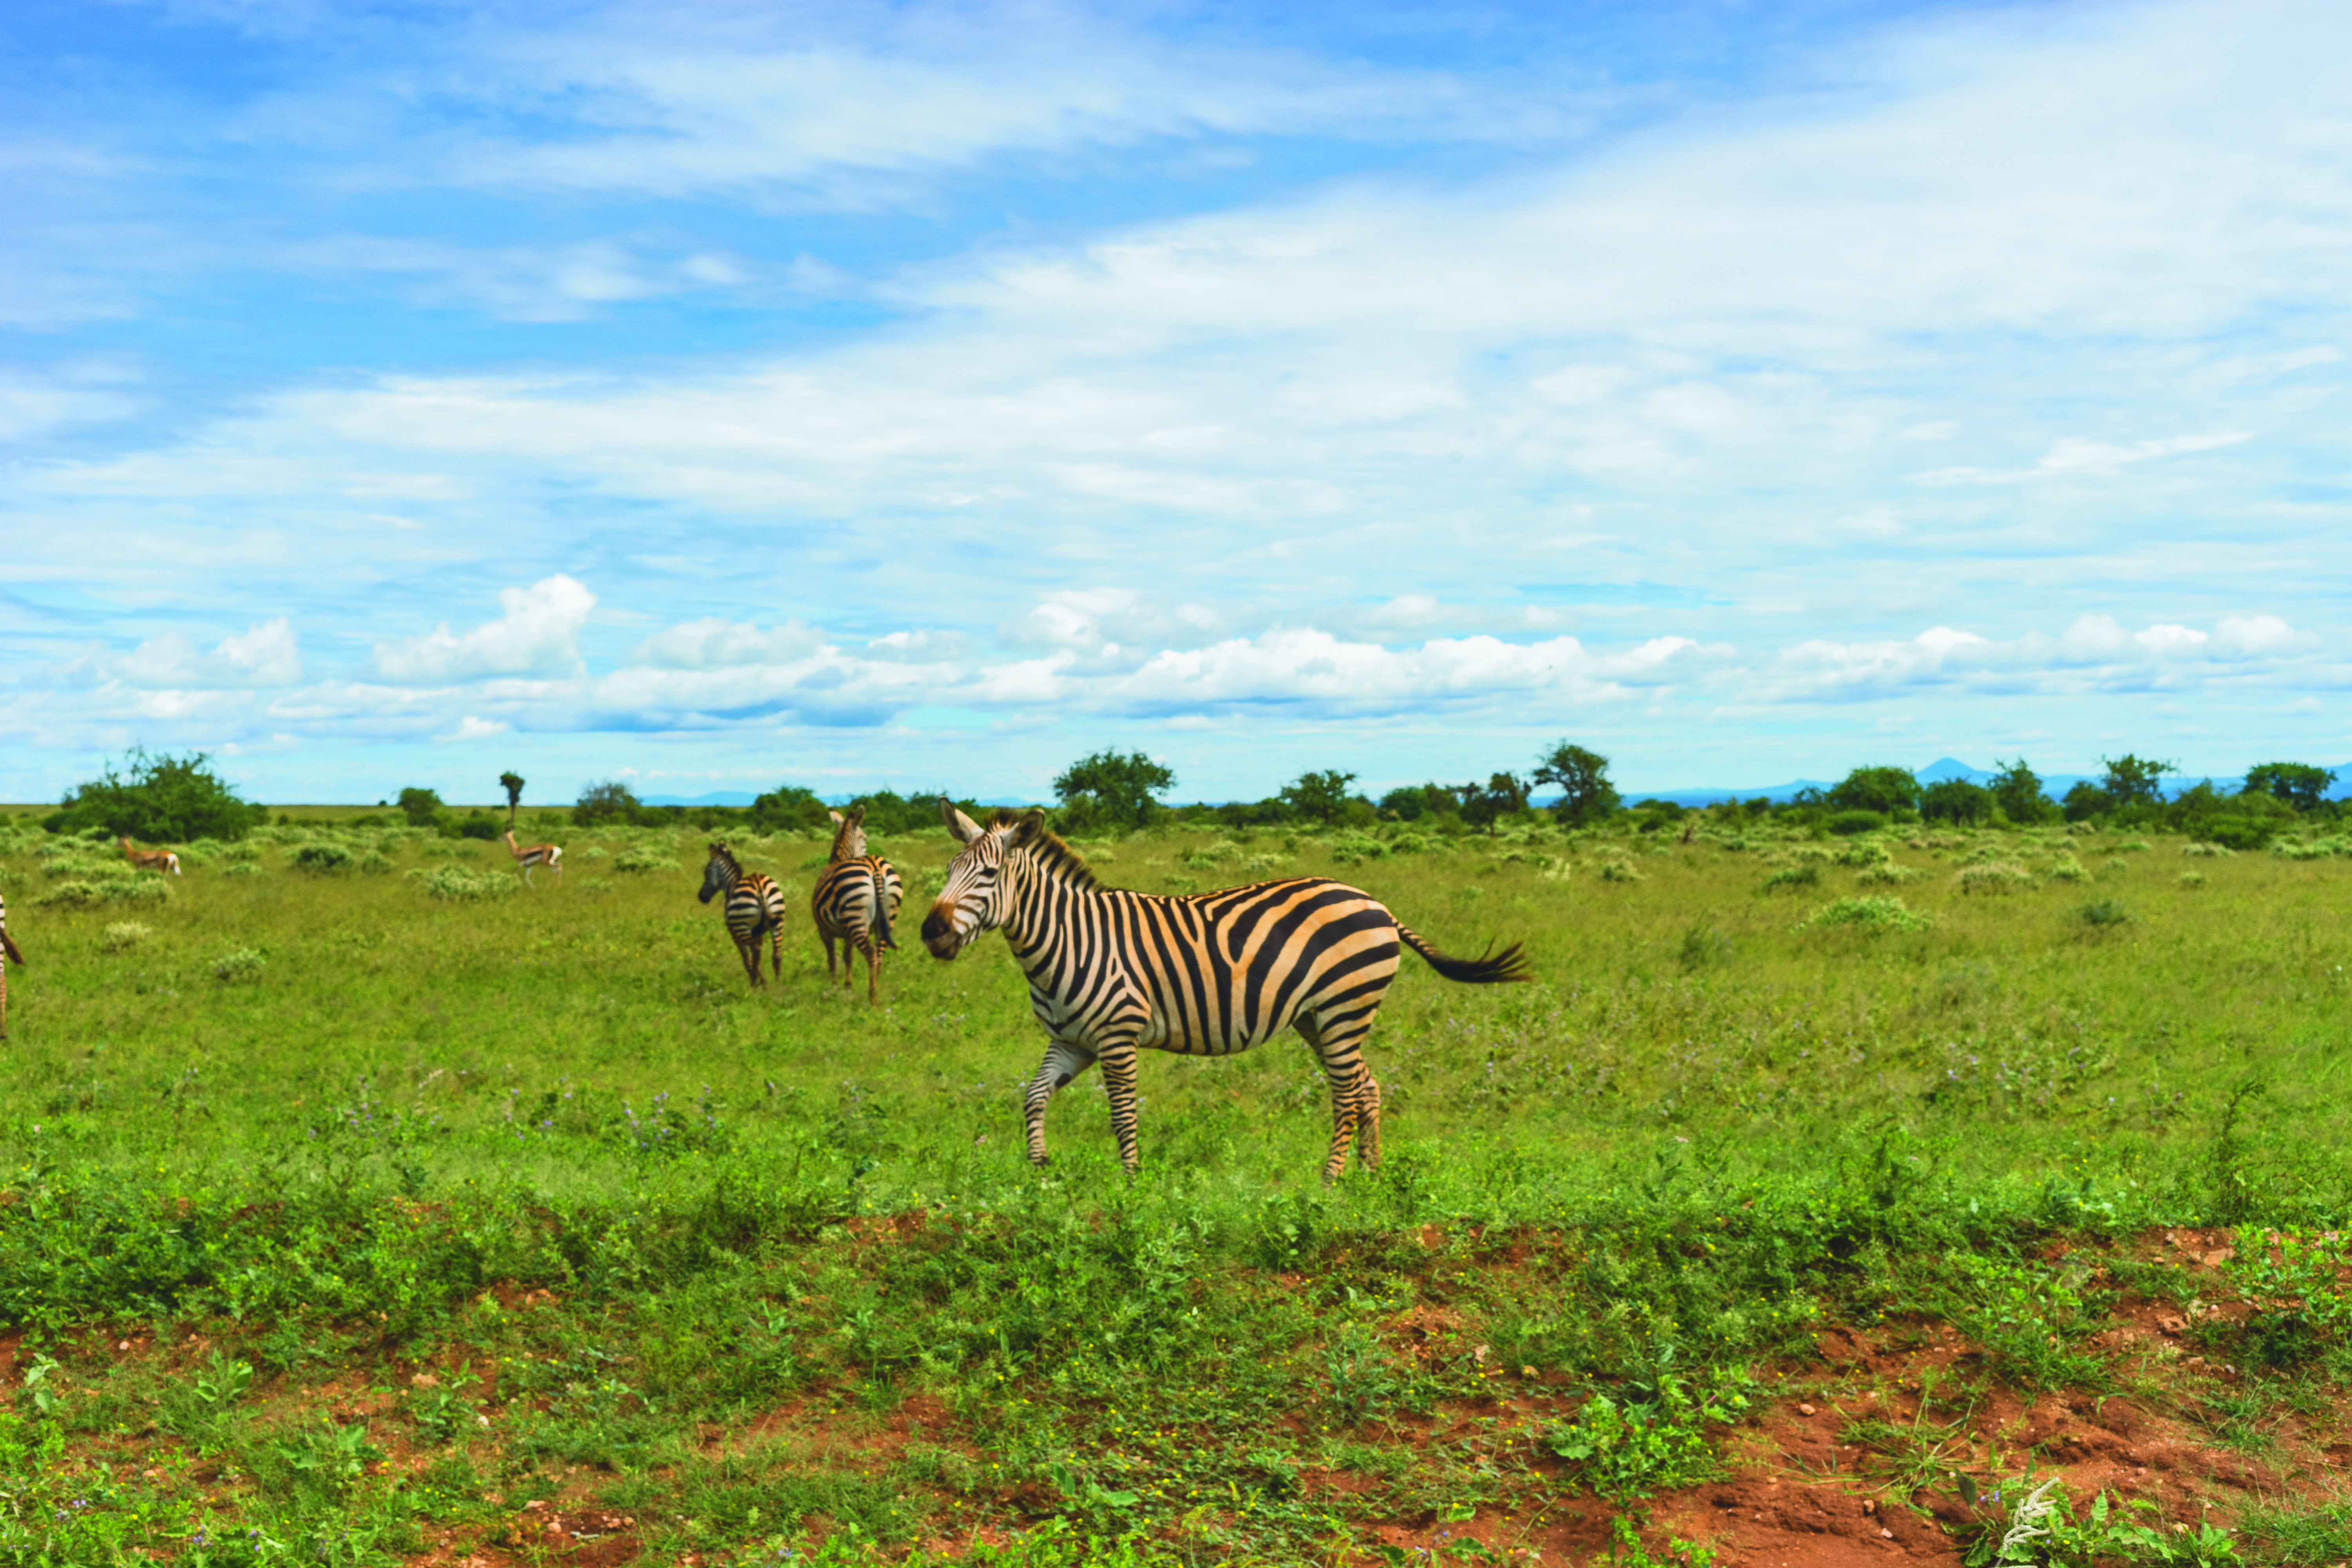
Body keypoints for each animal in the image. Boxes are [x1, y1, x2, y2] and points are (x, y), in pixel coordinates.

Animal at [700, 842, 788, 987]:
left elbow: (746, 958)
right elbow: (758, 958)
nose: (701, 897)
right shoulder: (759, 933)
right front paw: (762, 982)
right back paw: (777, 986)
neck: (731, 886)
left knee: (755, 950)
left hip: (742, 926)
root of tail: (758, 885)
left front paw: (759, 981)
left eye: (706, 872)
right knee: (776, 954)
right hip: (778, 921)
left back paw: (754, 982)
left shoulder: (734, 932)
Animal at [811, 807, 903, 1005]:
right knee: (879, 955)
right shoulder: (847, 933)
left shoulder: (824, 930)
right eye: (867, 838)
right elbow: (848, 956)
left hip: (857, 920)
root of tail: (875, 866)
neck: (839, 858)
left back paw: (872, 999)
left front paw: (835, 988)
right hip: (885, 919)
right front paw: (848, 986)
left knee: (871, 954)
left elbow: (833, 958)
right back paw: (874, 992)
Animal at [920, 801, 1531, 1180]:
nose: (930, 932)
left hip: (1343, 1007)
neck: (1066, 940)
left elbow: (1122, 1113)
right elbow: (1033, 1096)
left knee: (1346, 1092)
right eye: (948, 868)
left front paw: (1131, 1181)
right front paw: (1040, 1170)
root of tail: (1375, 902)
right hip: (1319, 1017)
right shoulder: (1071, 1041)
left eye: (989, 876)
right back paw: (1370, 1173)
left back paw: (1329, 1181)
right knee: (1368, 1085)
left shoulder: (1117, 1035)